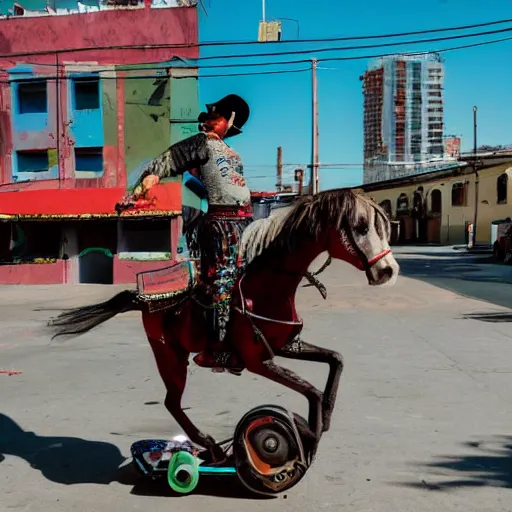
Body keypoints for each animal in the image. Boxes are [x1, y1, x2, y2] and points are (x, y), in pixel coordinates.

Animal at [48, 188, 400, 460]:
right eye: (360, 226)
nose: (387, 271)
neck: (268, 287)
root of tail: (142, 297)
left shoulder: (287, 346)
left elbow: (336, 361)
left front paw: (324, 419)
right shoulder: (259, 361)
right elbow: (311, 391)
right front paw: (308, 441)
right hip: (169, 357)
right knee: (172, 403)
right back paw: (212, 447)